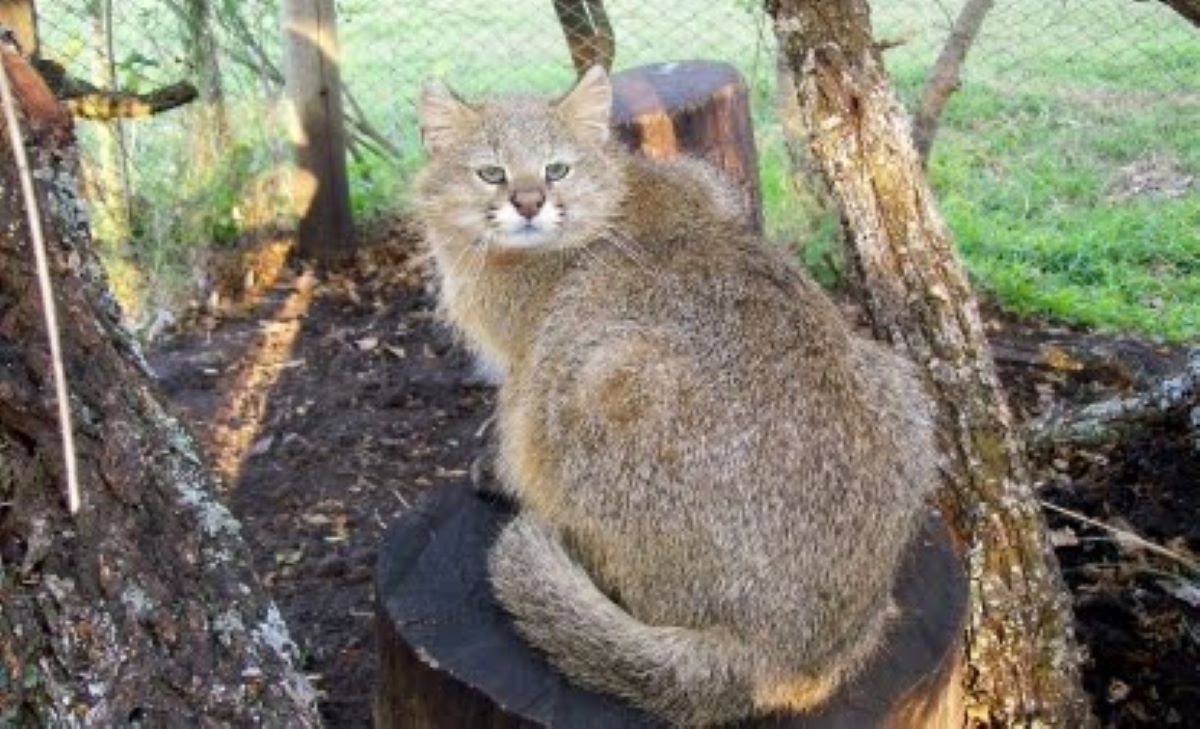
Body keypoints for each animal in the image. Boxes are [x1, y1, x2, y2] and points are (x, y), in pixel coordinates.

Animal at [412, 66, 936, 724]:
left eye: (557, 169)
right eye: (491, 172)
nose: (528, 202)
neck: (617, 192)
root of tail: (777, 655)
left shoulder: (526, 371)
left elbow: (507, 434)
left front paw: (493, 470)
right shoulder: (709, 184)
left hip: (602, 375)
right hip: (897, 380)